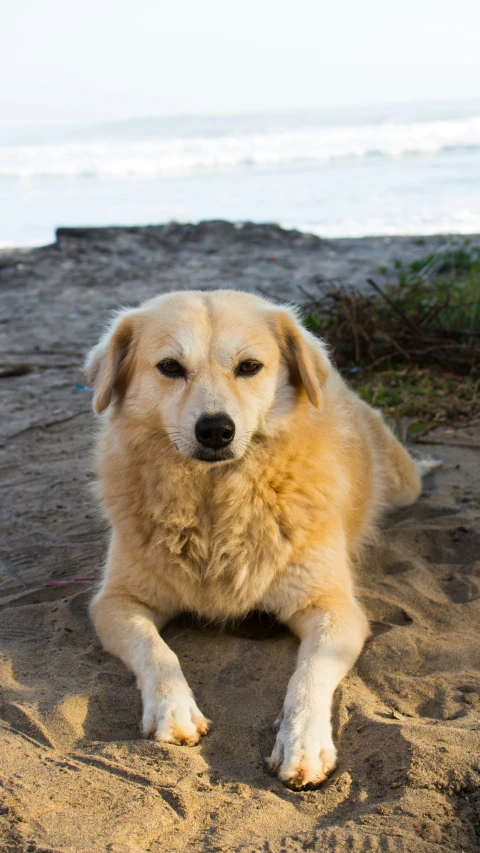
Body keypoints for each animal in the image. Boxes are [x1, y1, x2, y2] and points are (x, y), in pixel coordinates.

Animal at [84, 290, 430, 788]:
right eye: (170, 366)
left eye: (249, 367)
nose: (215, 430)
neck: (215, 501)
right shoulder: (115, 602)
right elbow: (158, 652)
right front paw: (174, 710)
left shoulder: (335, 609)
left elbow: (309, 674)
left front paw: (303, 742)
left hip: (405, 487)